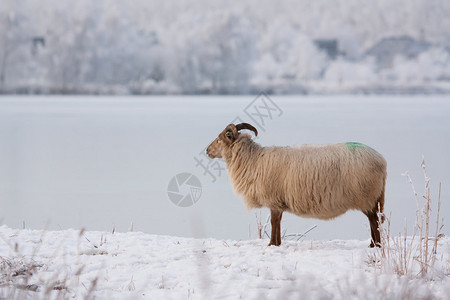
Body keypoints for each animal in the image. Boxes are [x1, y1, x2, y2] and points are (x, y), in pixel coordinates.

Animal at [207, 122, 386, 246]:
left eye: (219, 139)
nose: (207, 151)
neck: (253, 160)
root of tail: (381, 160)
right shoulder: (278, 202)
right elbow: (278, 222)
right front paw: (277, 243)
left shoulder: (273, 200)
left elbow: (274, 222)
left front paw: (271, 244)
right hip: (373, 198)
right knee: (375, 220)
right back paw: (373, 244)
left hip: (367, 196)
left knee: (374, 221)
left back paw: (375, 245)